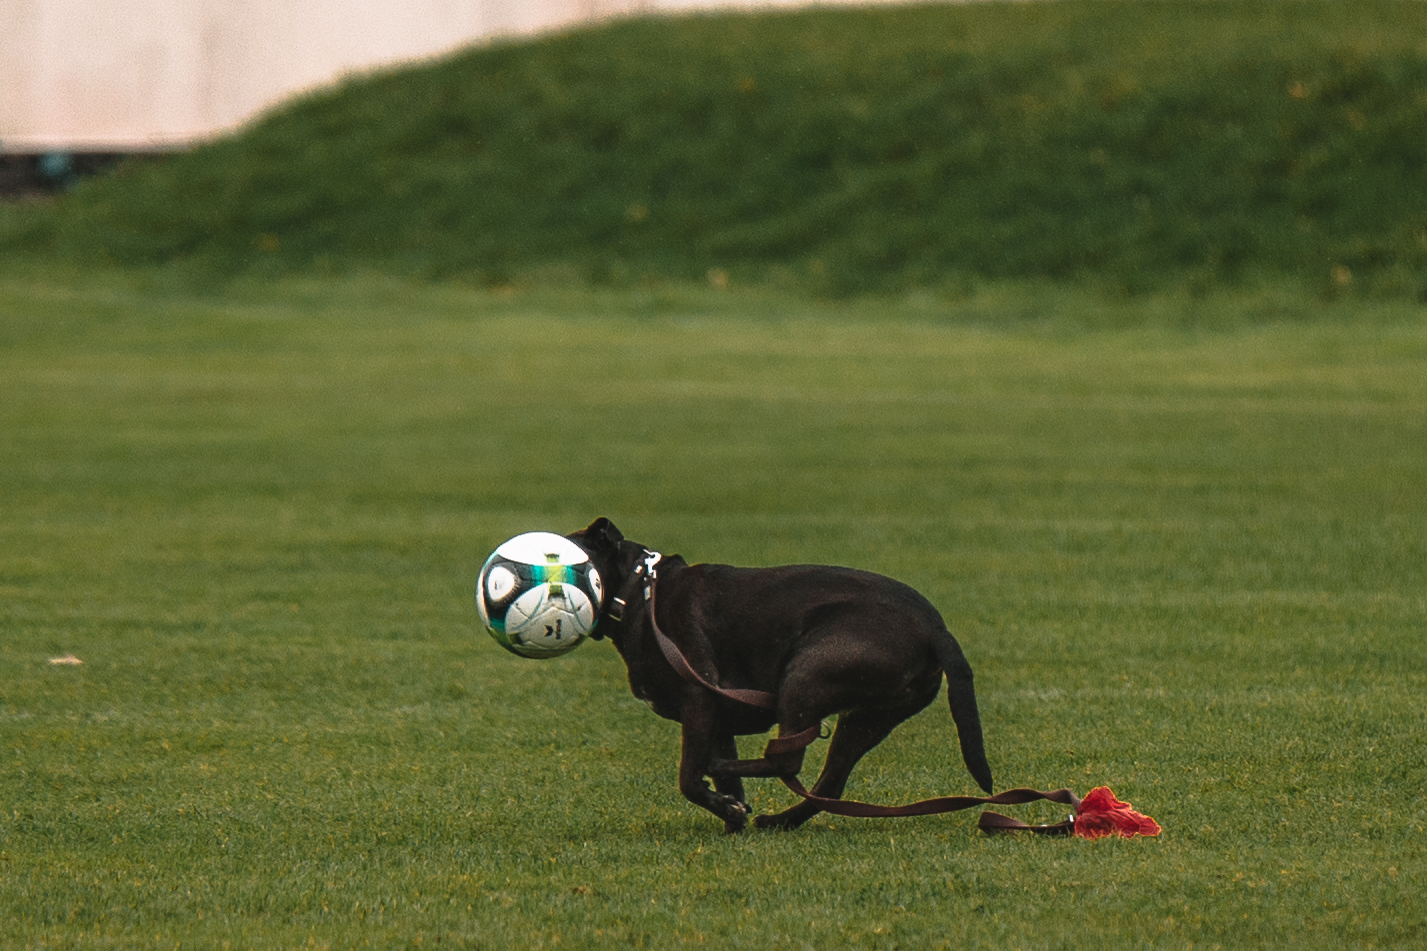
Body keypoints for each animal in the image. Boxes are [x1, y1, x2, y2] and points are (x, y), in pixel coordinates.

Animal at [567, 514, 993, 833]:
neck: (638, 591)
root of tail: (936, 629)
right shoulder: (718, 720)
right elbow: (729, 787)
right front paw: (731, 817)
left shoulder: (699, 700)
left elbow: (689, 777)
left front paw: (723, 803)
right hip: (865, 718)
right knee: (828, 783)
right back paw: (778, 822)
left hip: (806, 673)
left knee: (786, 762)